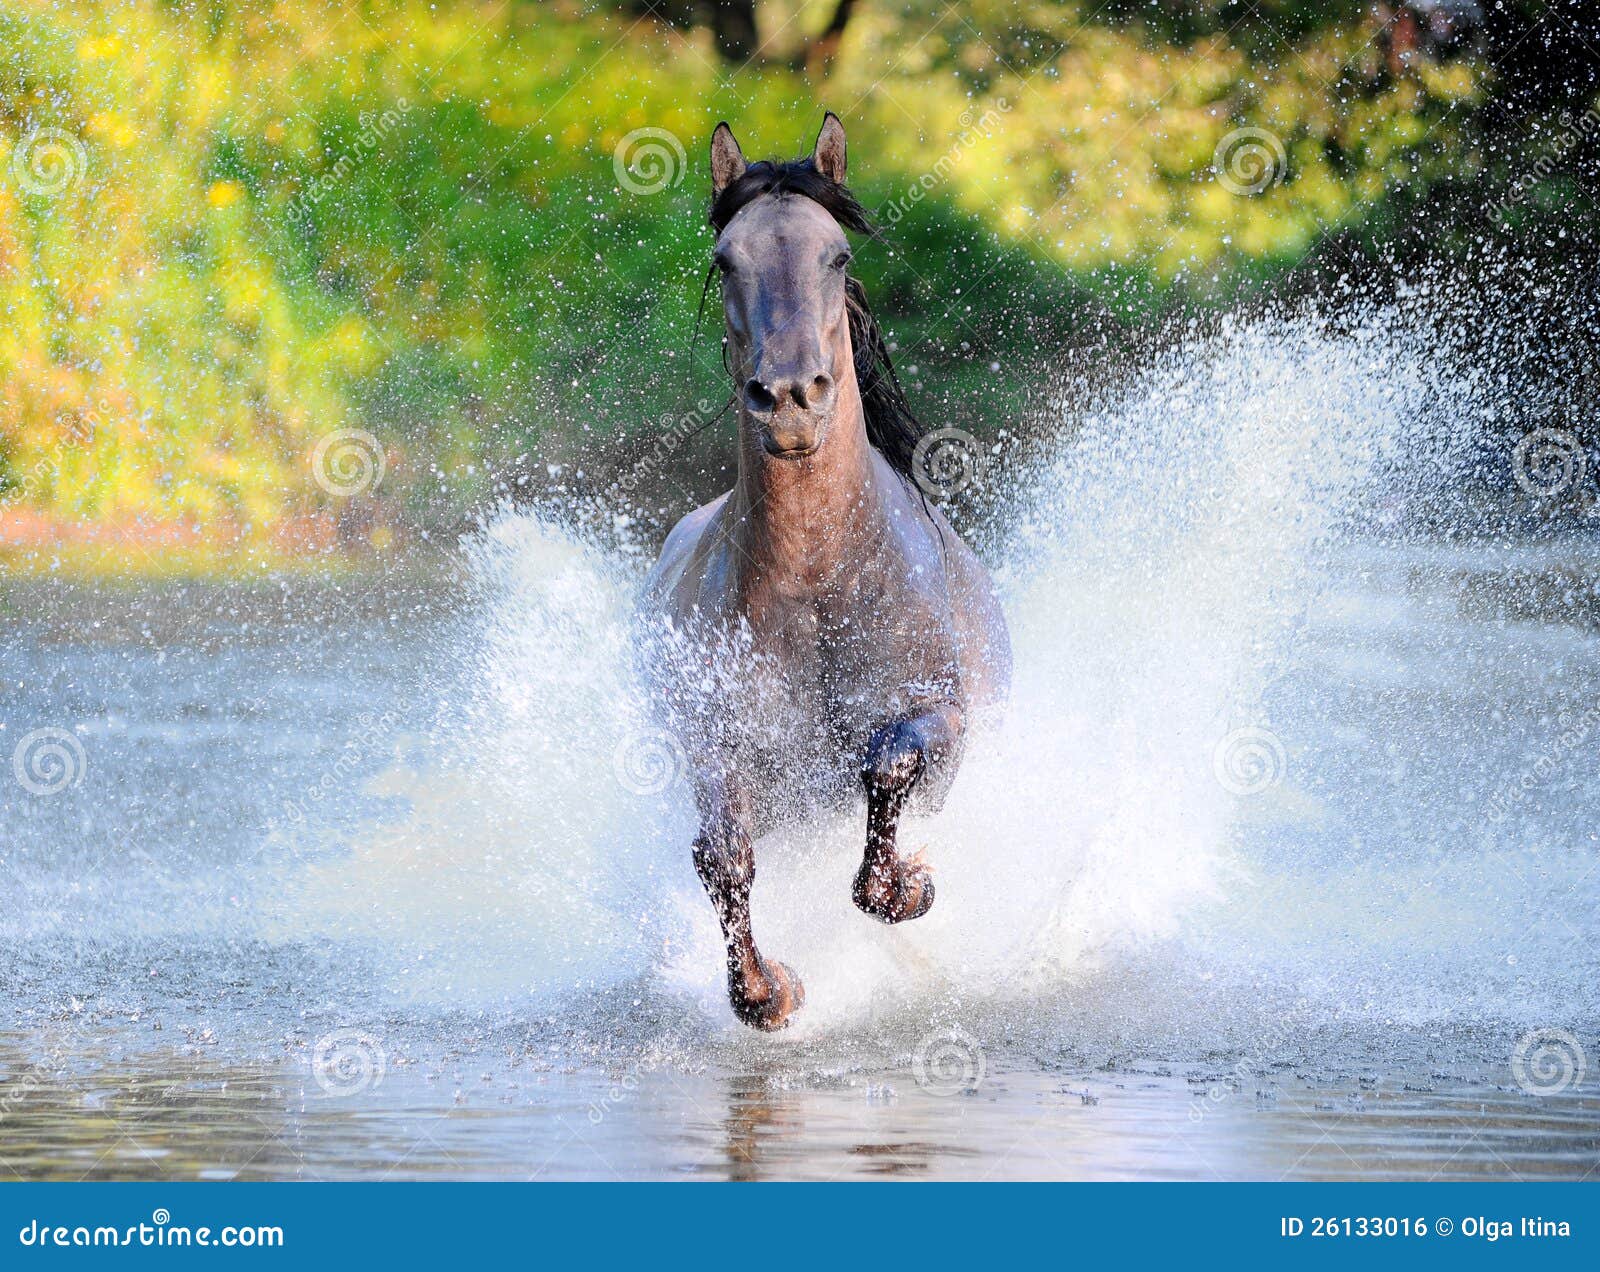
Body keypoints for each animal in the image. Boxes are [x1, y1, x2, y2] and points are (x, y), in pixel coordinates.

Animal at [640, 113, 1011, 1030]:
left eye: (837, 256)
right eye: (726, 259)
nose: (790, 399)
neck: (817, 589)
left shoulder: (942, 718)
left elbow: (888, 764)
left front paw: (909, 887)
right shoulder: (722, 749)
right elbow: (721, 855)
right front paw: (767, 993)